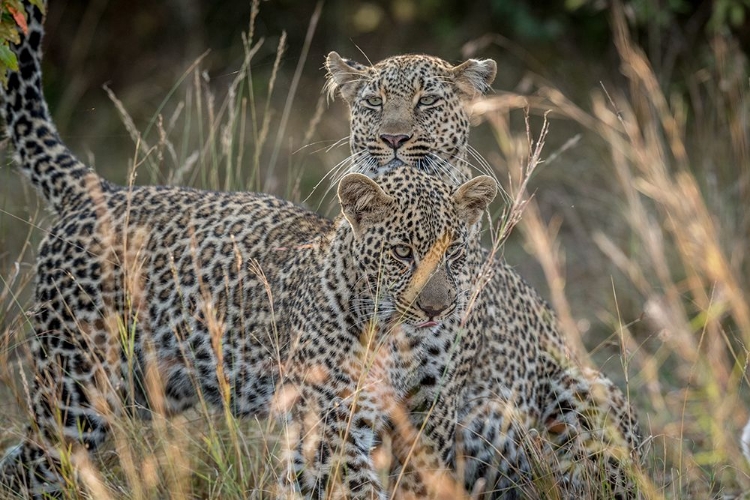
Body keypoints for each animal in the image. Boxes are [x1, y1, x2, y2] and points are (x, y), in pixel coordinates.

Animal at [328, 50, 648, 496]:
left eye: (426, 101)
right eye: (374, 102)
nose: (393, 139)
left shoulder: (437, 394)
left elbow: (417, 476)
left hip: (581, 388)